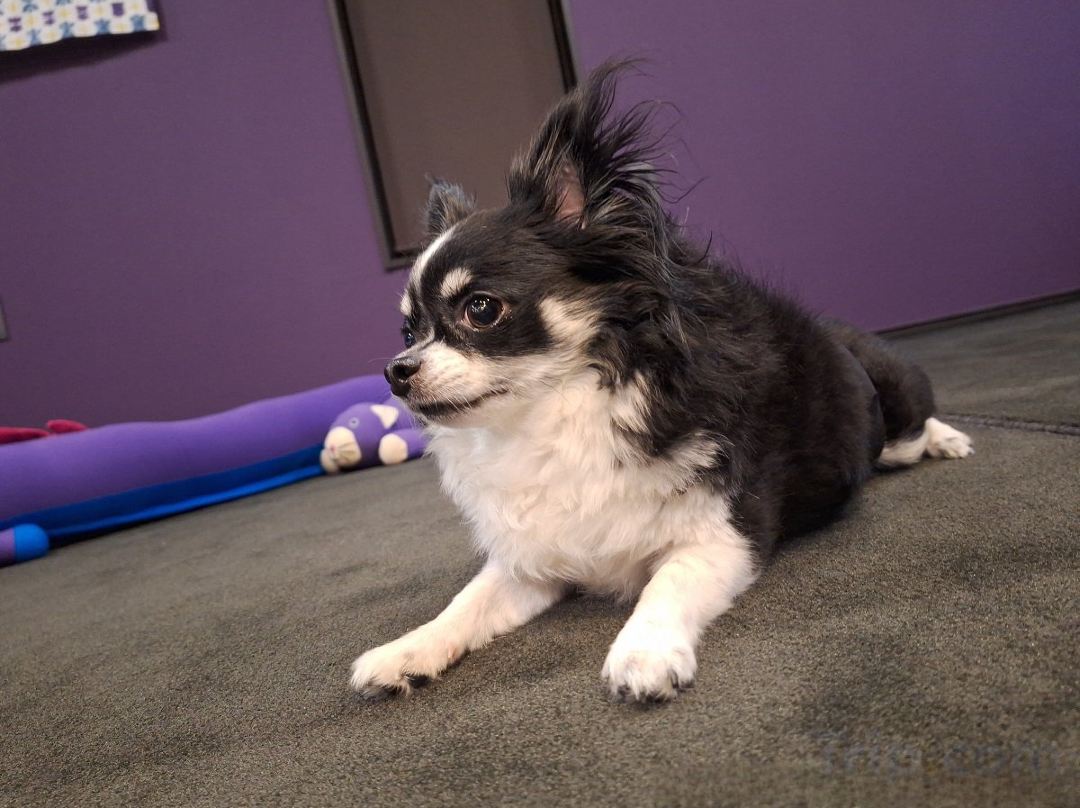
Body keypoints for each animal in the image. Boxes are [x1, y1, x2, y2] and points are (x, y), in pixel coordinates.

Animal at [349, 63, 973, 703]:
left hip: (893, 422)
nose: (396, 371)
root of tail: (838, 330)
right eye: (408, 330)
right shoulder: (531, 564)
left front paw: (643, 652)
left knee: (915, 429)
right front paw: (407, 650)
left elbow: (665, 583)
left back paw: (950, 439)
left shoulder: (726, 533)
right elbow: (467, 602)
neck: (556, 416)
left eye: (481, 308)